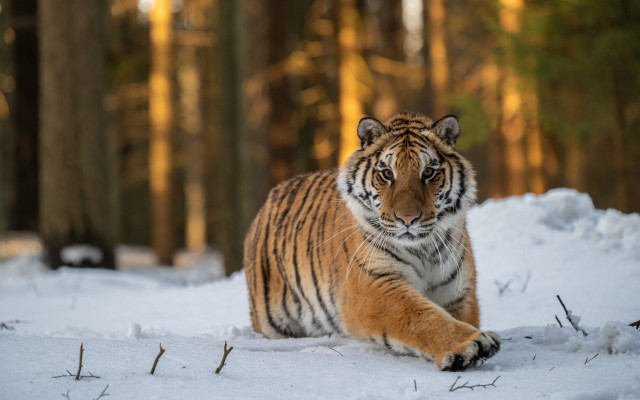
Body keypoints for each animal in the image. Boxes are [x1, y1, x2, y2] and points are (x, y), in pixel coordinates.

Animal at [243, 111, 500, 371]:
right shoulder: (373, 284)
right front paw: (469, 345)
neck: (423, 250)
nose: (408, 219)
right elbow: (420, 314)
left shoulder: (458, 292)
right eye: (387, 174)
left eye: (428, 172)